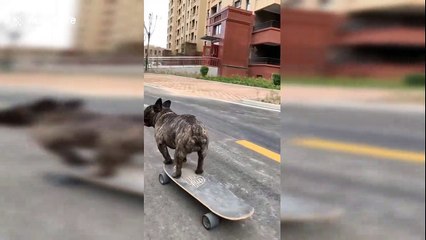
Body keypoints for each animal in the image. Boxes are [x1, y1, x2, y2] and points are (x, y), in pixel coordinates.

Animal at [0, 97, 144, 176]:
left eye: (15, 110)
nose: (3, 113)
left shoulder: (49, 139)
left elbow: (63, 151)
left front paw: (76, 160)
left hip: (109, 144)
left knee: (108, 160)